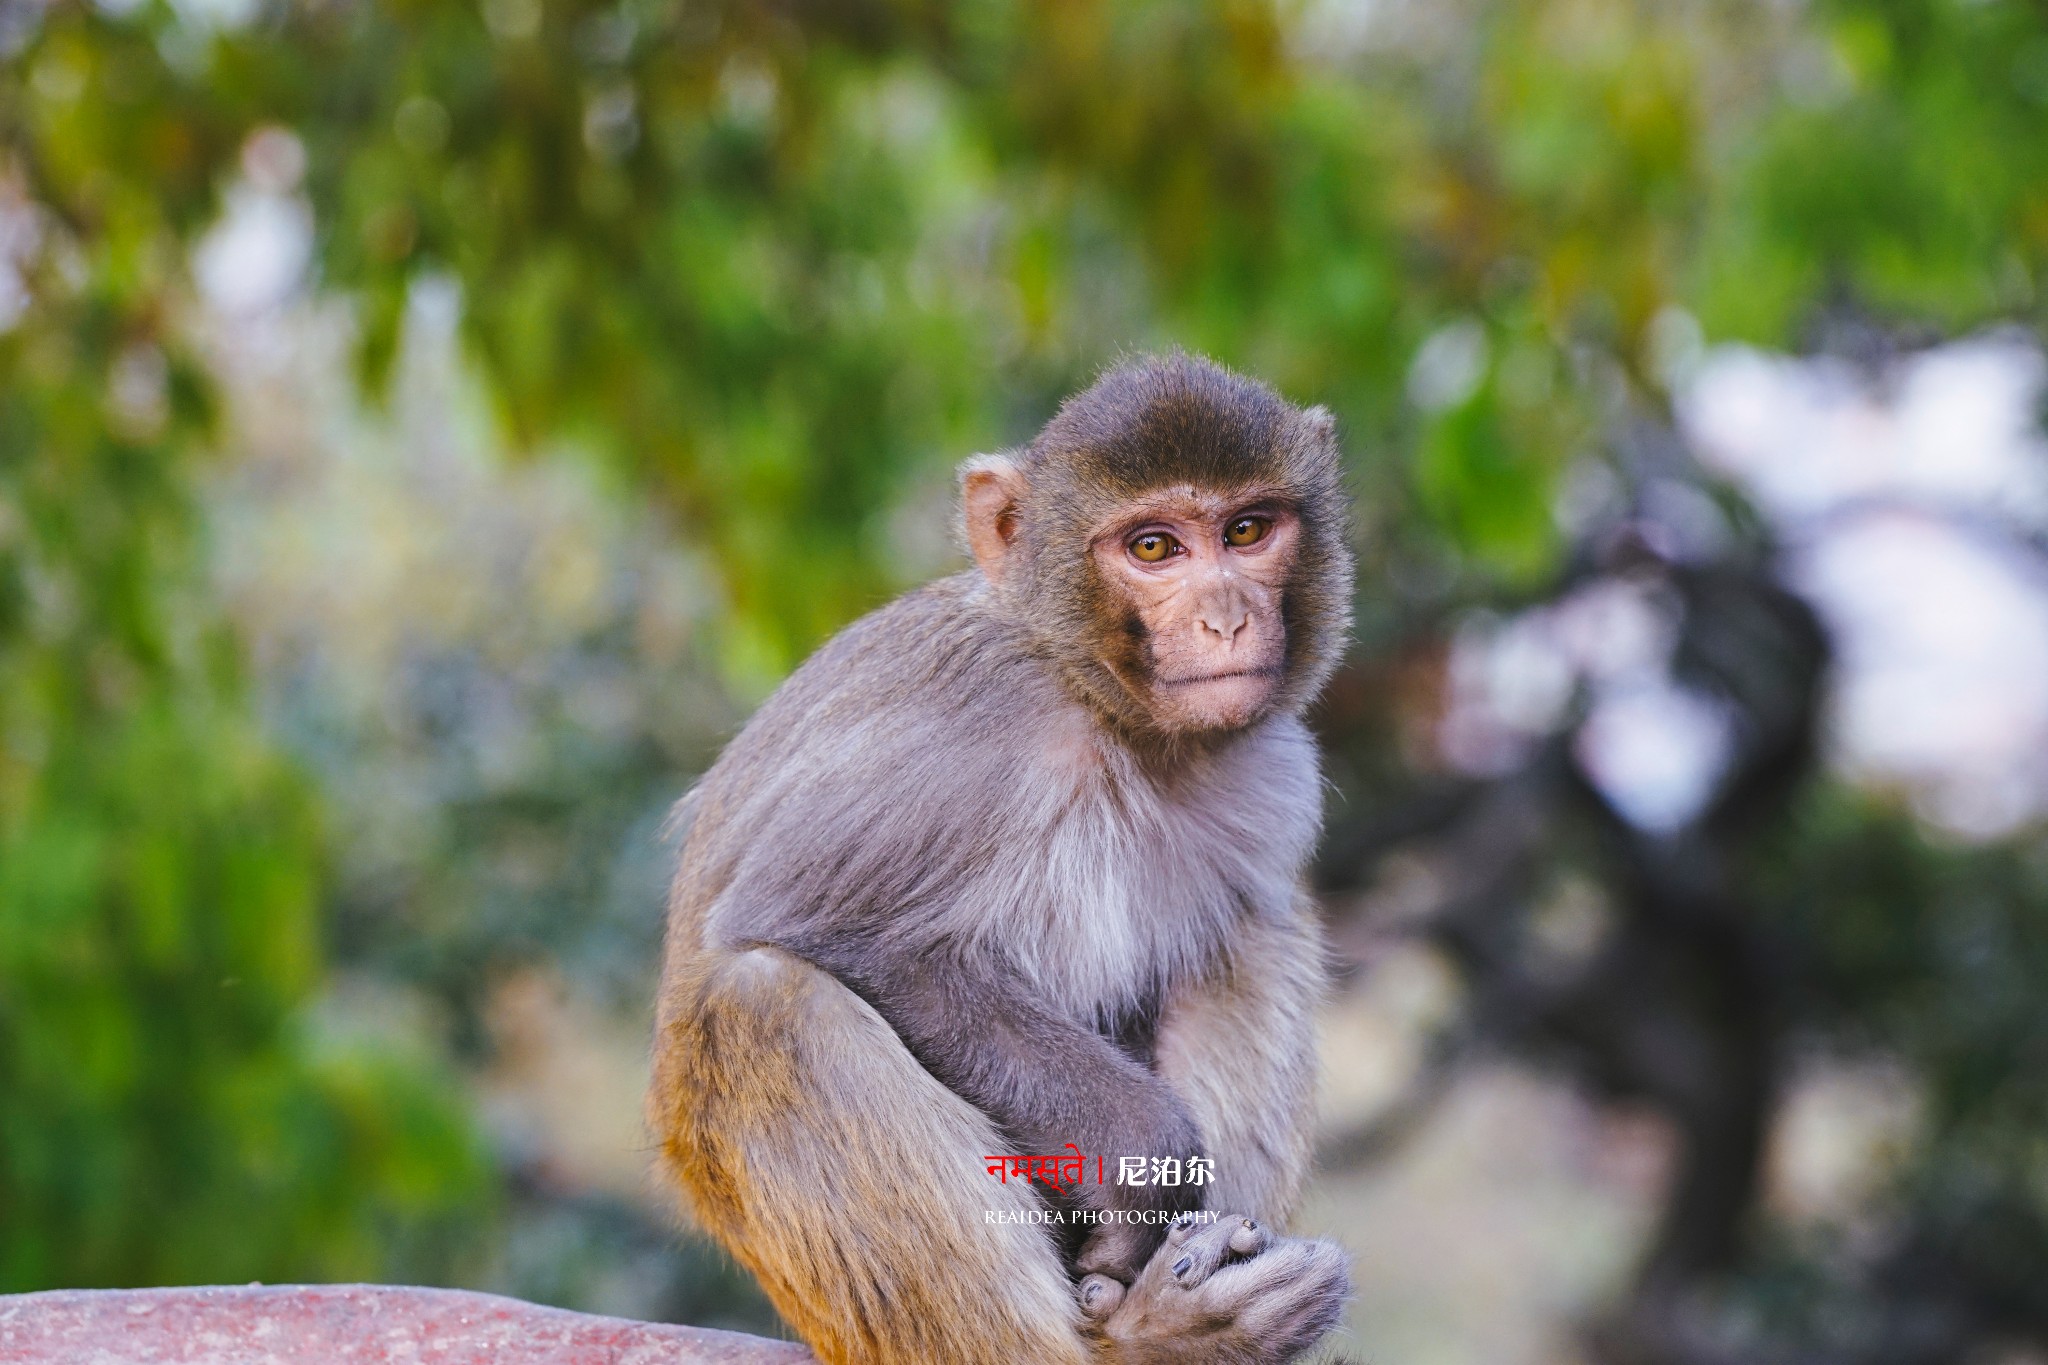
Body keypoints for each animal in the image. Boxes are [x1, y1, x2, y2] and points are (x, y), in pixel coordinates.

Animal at [655, 356, 1351, 1365]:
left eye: (1248, 530)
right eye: (1154, 548)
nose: (1227, 618)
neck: (1105, 712)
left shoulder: (1273, 773)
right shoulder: (977, 730)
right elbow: (825, 926)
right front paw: (1143, 1162)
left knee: (1253, 932)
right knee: (764, 998)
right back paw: (1145, 1338)